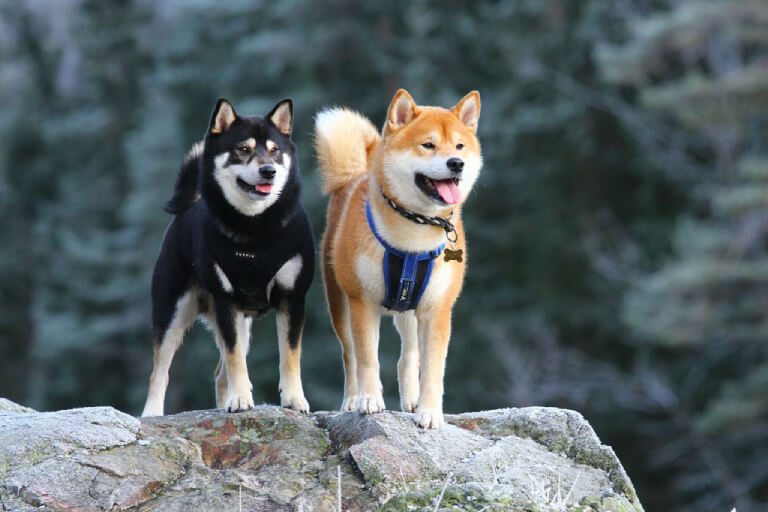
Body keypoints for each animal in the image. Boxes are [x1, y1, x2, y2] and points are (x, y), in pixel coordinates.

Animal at [142, 99, 314, 416]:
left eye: (274, 150)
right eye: (243, 149)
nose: (269, 171)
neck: (255, 227)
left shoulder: (292, 297)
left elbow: (290, 355)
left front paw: (294, 398)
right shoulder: (226, 301)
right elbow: (235, 361)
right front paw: (241, 400)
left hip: (242, 323)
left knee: (220, 373)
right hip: (172, 310)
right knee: (160, 370)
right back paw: (152, 414)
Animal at [312, 89, 480, 428]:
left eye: (460, 146)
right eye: (428, 145)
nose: (456, 163)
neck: (414, 232)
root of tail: (355, 175)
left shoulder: (437, 310)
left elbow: (432, 369)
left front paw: (430, 412)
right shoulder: (362, 303)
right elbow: (367, 359)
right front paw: (369, 400)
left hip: (410, 312)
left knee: (409, 357)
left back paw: (412, 401)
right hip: (340, 304)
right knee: (349, 356)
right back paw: (352, 399)